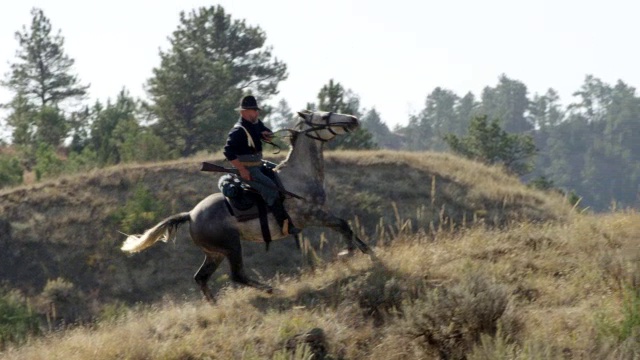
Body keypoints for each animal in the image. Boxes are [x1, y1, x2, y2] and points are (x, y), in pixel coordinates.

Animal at [120, 109, 372, 300]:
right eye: (326, 115)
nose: (353, 119)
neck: (300, 176)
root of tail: (190, 214)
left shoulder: (324, 214)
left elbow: (348, 228)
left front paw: (368, 251)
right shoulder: (314, 216)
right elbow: (344, 226)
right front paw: (348, 252)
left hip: (215, 253)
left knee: (201, 277)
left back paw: (215, 305)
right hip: (232, 247)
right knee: (237, 275)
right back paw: (271, 289)